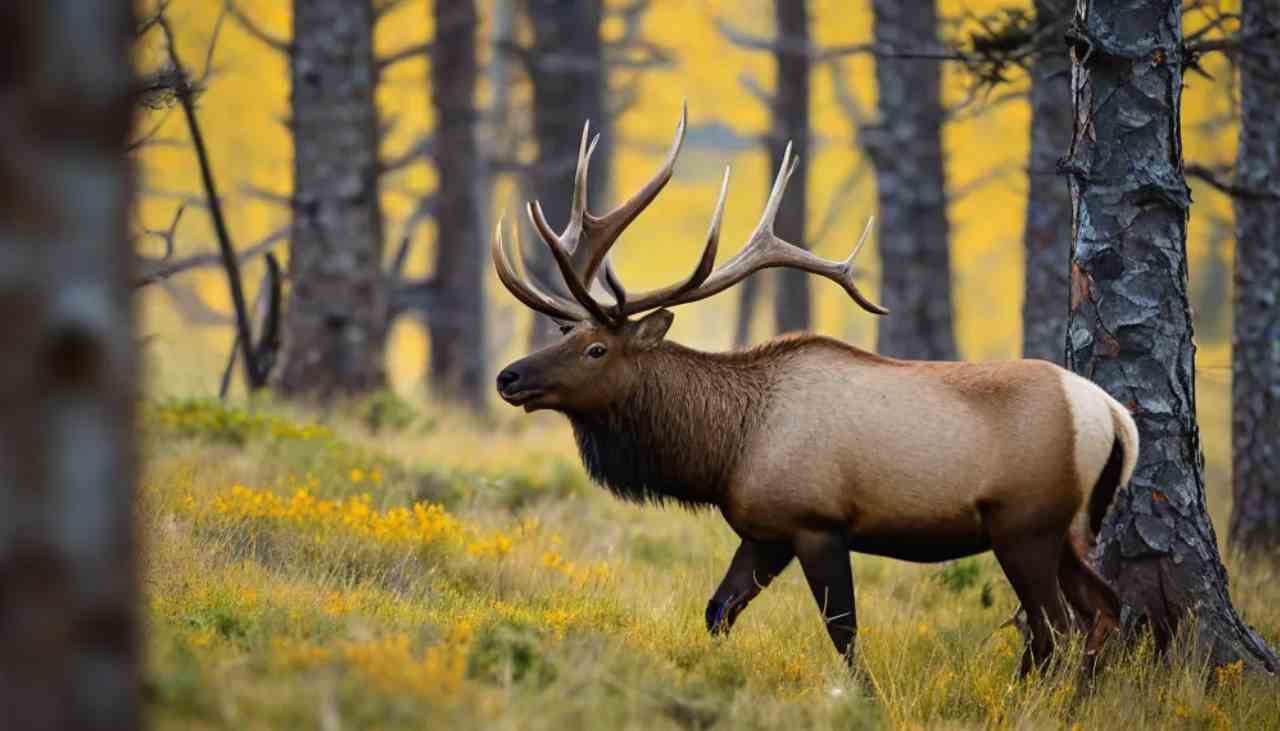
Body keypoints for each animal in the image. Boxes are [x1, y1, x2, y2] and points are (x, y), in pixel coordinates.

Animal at [491, 107, 1139, 675]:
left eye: (596, 348)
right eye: (568, 332)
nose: (508, 377)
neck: (725, 451)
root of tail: (1113, 414)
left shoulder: (817, 522)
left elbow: (843, 632)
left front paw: (863, 696)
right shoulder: (764, 531)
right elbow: (718, 611)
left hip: (1024, 524)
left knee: (1055, 627)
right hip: (1067, 530)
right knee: (1104, 612)